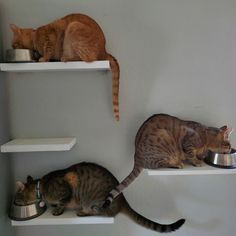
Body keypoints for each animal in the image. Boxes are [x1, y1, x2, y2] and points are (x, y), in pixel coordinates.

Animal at [14, 162, 184, 232]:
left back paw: (82, 212)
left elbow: (62, 203)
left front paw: (57, 210)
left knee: (102, 212)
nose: (14, 200)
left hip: (95, 203)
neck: (41, 187)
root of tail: (123, 199)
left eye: (16, 196)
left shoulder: (67, 188)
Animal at [104, 113, 233, 207]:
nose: (231, 149)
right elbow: (191, 155)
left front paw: (200, 157)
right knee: (162, 164)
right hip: (164, 141)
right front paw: (196, 162)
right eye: (229, 145)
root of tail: (136, 156)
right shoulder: (188, 144)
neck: (205, 135)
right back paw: (177, 164)